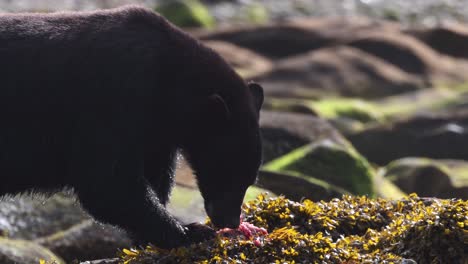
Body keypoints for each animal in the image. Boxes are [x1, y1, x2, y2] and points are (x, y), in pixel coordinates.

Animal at [0, 6, 264, 250]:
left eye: (251, 179)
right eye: (227, 169)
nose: (230, 220)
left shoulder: (156, 133)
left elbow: (155, 173)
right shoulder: (116, 96)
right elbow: (105, 180)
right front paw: (189, 231)